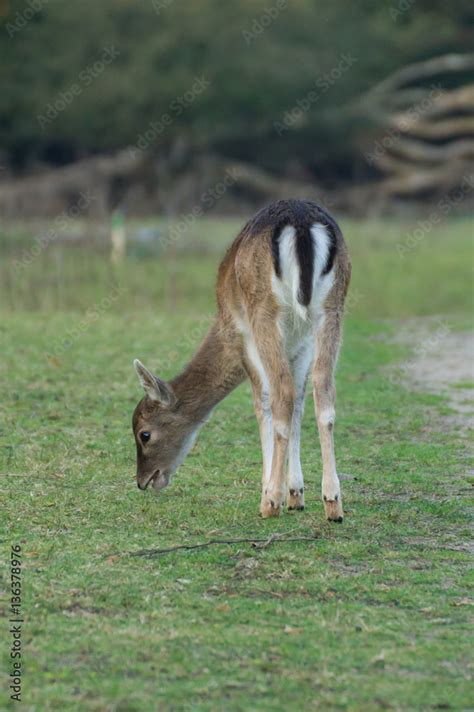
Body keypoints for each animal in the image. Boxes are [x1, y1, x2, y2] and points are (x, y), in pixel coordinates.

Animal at [131, 197, 350, 520]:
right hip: (332, 307)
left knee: (282, 392)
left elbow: (263, 401)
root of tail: (300, 223)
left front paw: (271, 493)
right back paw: (333, 503)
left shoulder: (242, 336)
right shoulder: (302, 342)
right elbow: (299, 403)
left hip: (264, 311)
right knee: (324, 392)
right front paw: (296, 494)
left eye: (144, 434)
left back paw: (270, 504)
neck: (222, 322)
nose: (142, 481)